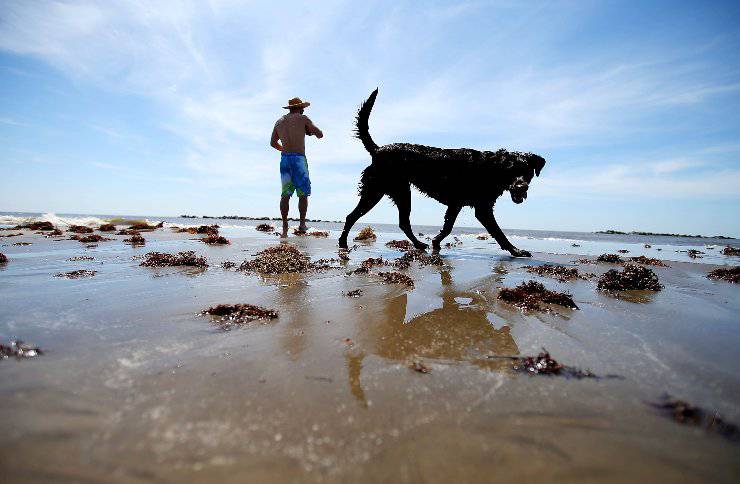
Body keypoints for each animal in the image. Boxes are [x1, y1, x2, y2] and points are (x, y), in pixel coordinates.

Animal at [340, 90, 544, 258]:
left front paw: (436, 242)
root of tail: (378, 149)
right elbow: (498, 232)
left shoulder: (458, 204)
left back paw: (419, 244)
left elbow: (448, 227)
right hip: (377, 190)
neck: (491, 169)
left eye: (527, 172)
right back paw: (342, 244)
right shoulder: (480, 208)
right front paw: (516, 251)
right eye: (511, 171)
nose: (520, 186)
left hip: (401, 192)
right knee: (352, 216)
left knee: (403, 222)